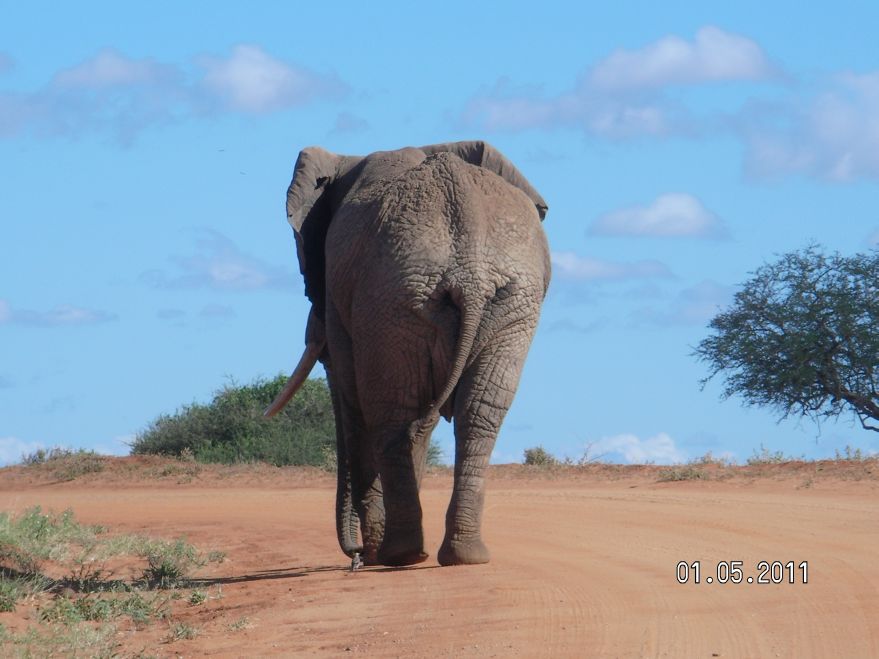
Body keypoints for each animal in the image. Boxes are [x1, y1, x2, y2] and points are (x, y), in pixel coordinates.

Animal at [266, 141, 552, 568]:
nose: (354, 557)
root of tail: (470, 273)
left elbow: (353, 402)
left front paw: (373, 552)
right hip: (505, 302)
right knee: (475, 413)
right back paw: (459, 555)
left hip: (395, 299)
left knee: (392, 411)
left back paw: (399, 555)